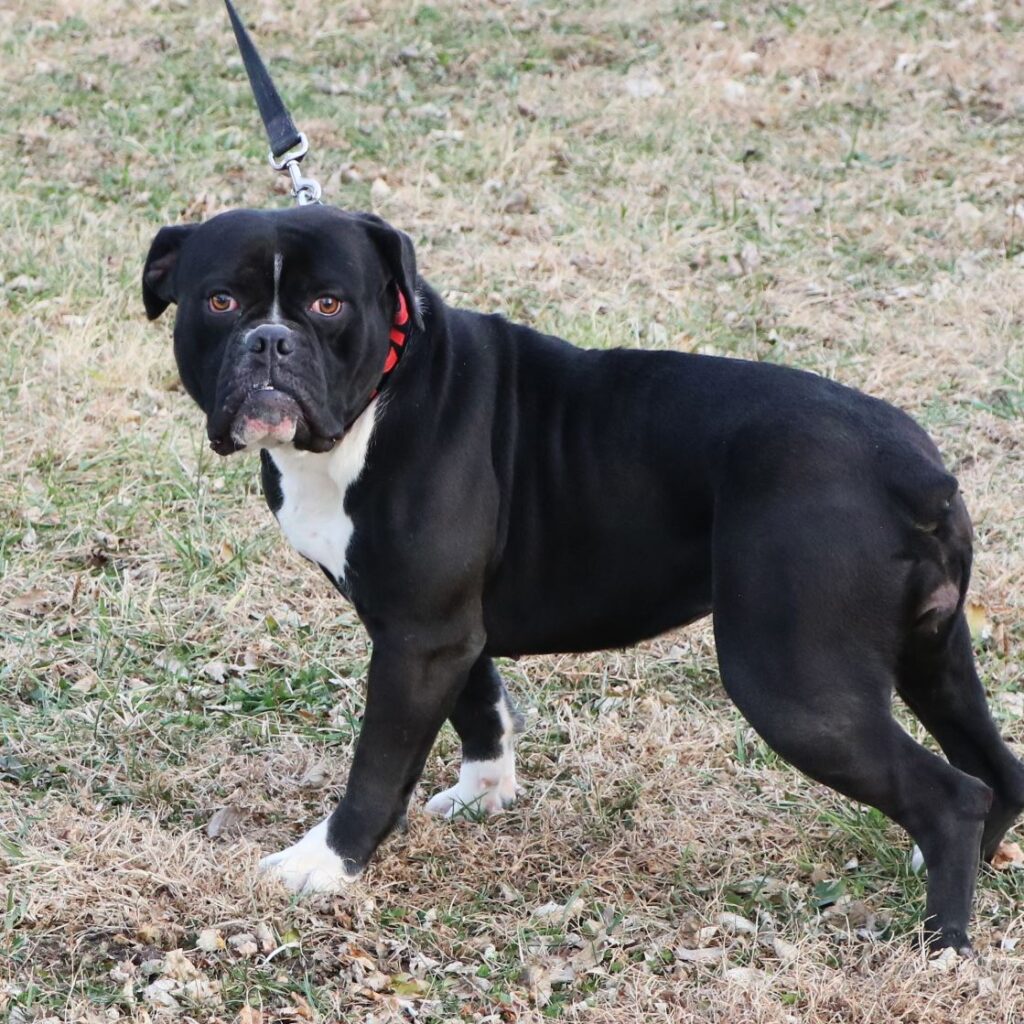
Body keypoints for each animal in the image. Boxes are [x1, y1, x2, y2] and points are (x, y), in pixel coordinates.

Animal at [142, 203, 1024, 946]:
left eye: (328, 305)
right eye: (220, 301)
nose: (269, 342)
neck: (378, 398)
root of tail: (914, 470)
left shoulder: (418, 637)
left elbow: (379, 765)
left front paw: (324, 864)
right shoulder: (443, 631)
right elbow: (478, 703)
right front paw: (486, 793)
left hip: (797, 687)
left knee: (950, 794)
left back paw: (939, 945)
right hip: (932, 655)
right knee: (995, 770)